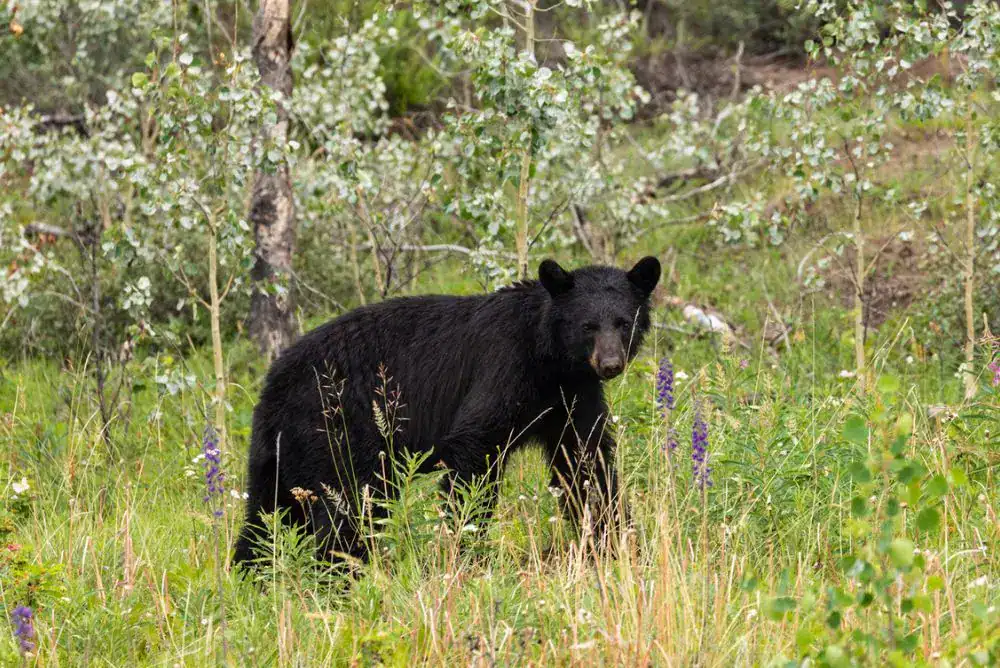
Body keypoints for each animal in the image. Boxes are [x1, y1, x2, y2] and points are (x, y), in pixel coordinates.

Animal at [233, 256, 661, 567]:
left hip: (280, 452)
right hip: (336, 431)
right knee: (347, 507)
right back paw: (339, 572)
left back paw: (253, 575)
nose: (610, 364)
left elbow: (586, 462)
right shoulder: (504, 368)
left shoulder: (572, 397)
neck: (550, 360)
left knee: (265, 516)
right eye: (588, 325)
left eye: (624, 322)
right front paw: (464, 544)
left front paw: (616, 542)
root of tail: (271, 384)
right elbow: (475, 449)